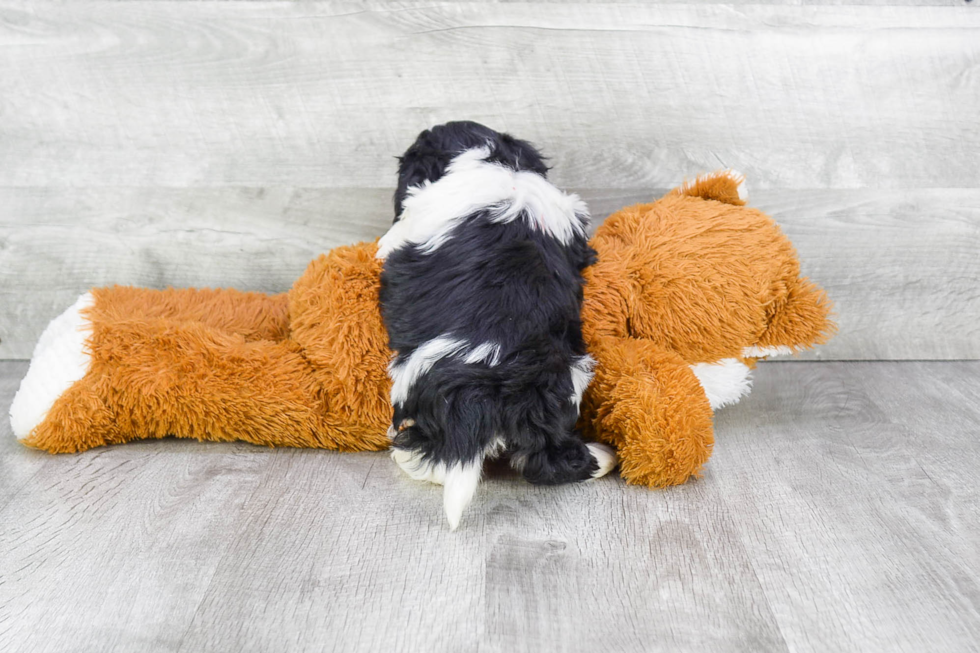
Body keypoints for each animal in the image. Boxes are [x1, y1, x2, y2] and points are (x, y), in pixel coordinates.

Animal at [376, 121, 612, 528]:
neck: (495, 162)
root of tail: (499, 385)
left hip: (415, 386)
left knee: (433, 456)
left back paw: (405, 454)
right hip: (567, 387)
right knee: (553, 462)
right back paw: (603, 459)